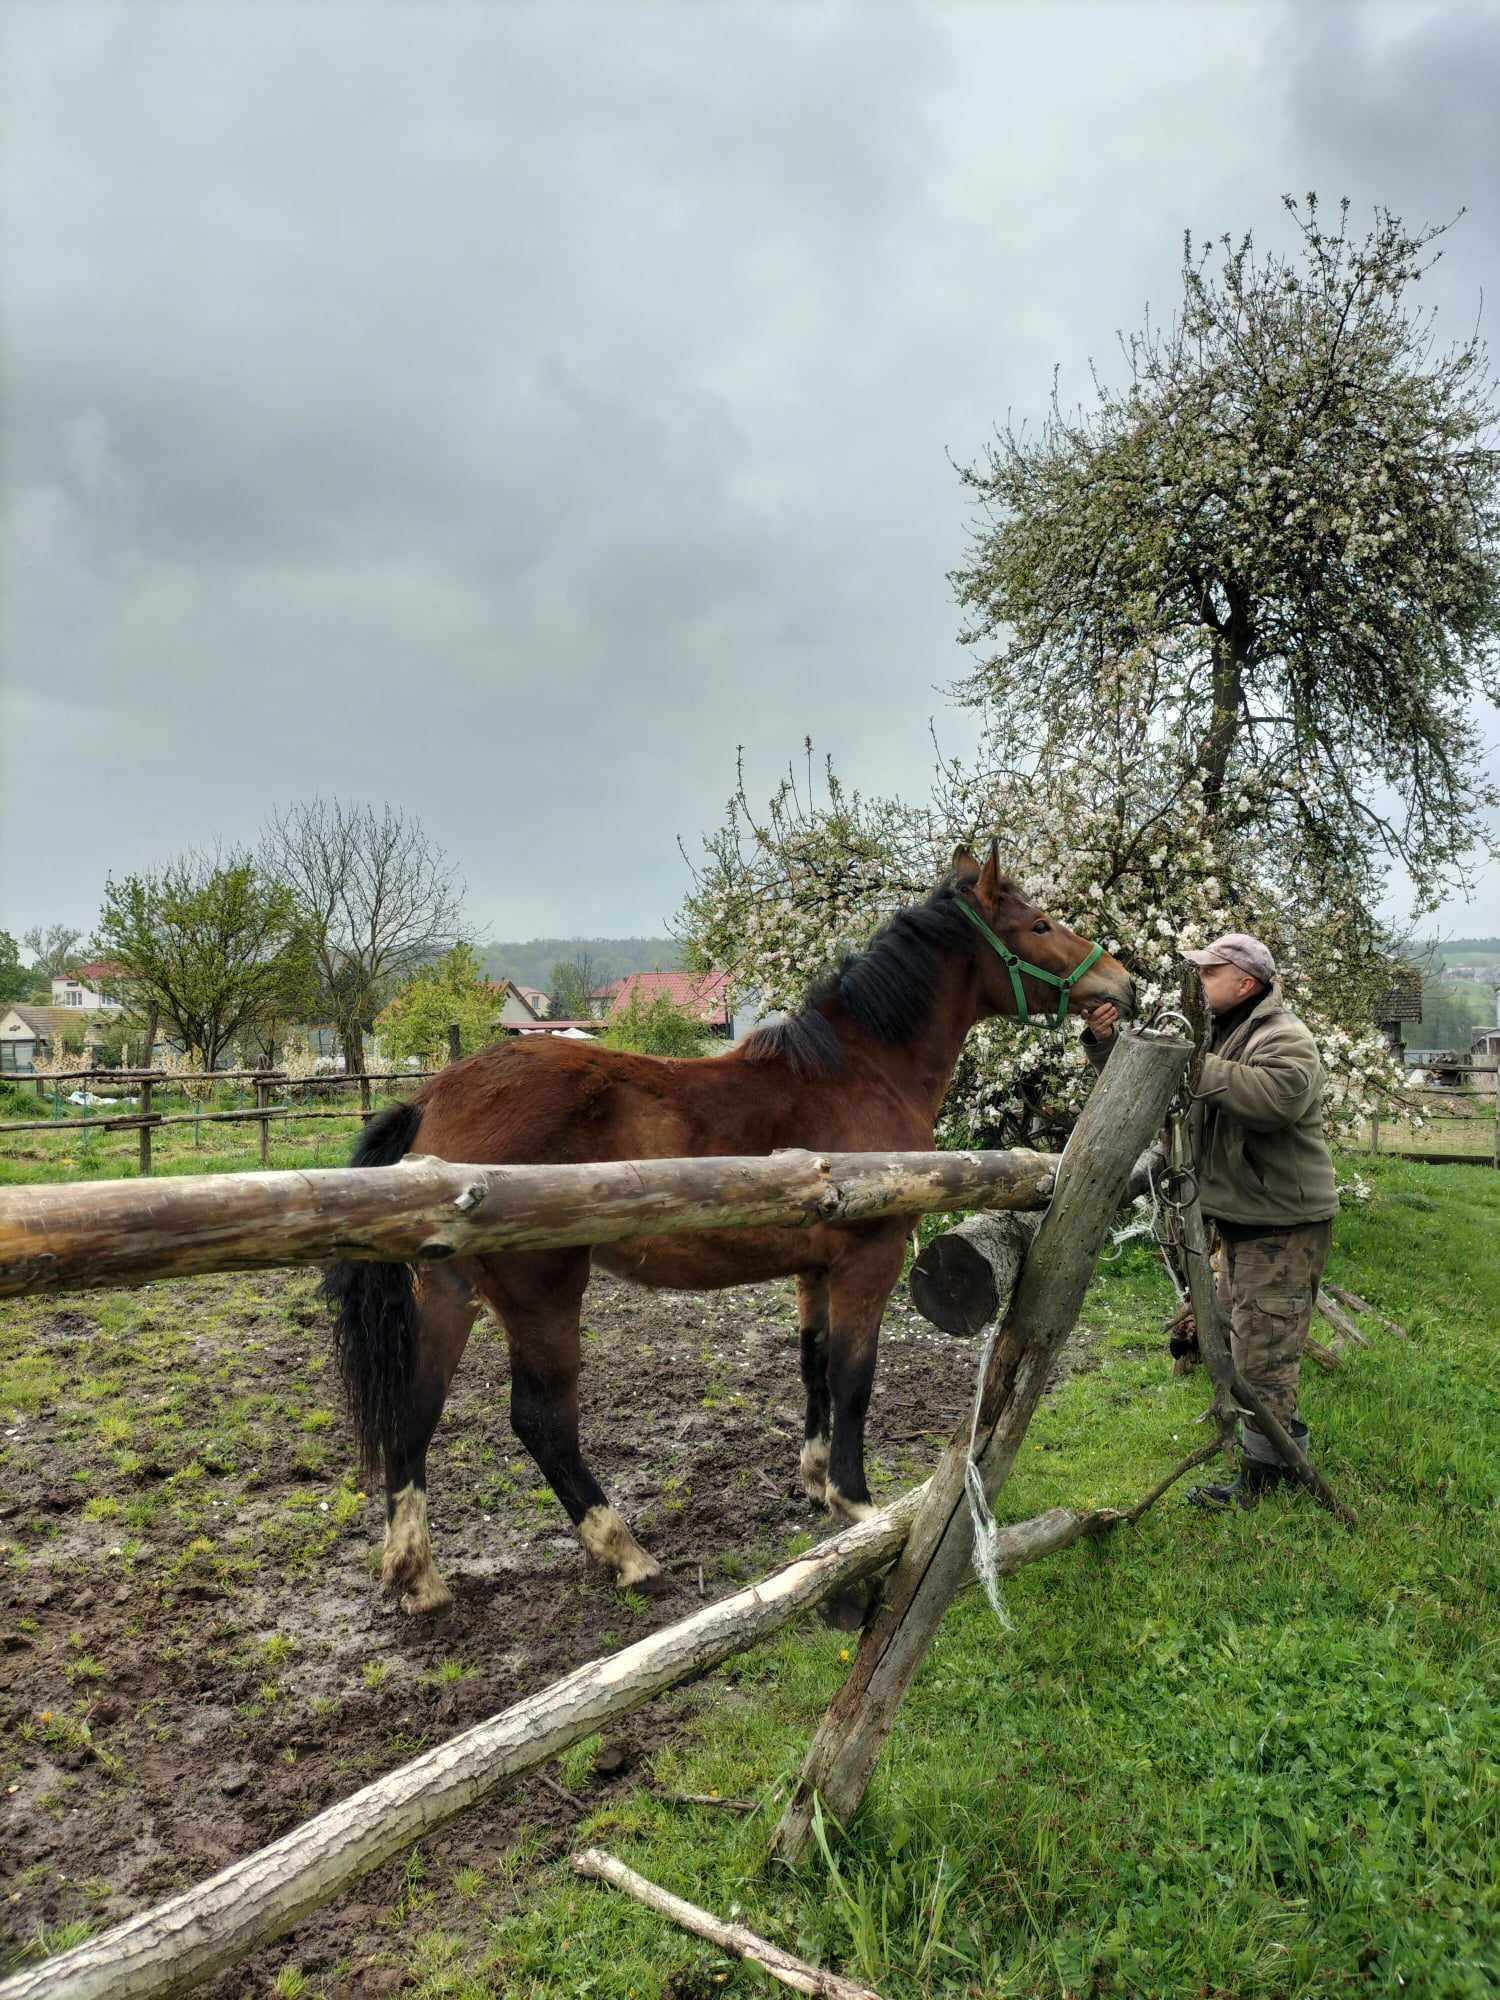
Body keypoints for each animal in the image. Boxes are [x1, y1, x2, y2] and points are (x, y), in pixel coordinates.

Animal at [326, 840, 1128, 1608]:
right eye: (1040, 926)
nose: (1120, 985)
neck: (859, 1074)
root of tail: (432, 1098)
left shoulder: (813, 1272)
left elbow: (813, 1367)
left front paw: (814, 1480)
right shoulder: (868, 1263)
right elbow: (854, 1377)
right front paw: (857, 1504)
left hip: (450, 1293)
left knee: (415, 1409)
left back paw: (418, 1575)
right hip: (542, 1296)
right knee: (540, 1421)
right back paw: (624, 1551)